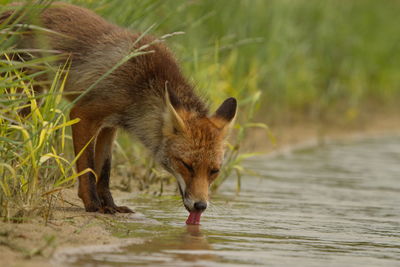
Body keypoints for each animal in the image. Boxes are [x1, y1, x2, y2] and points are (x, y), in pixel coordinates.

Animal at [1, 3, 236, 223]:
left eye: (214, 171)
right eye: (186, 165)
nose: (200, 206)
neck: (141, 87)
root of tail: (11, 9)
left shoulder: (109, 126)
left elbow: (104, 171)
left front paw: (110, 206)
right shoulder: (83, 114)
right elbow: (87, 168)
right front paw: (92, 204)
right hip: (23, 95)